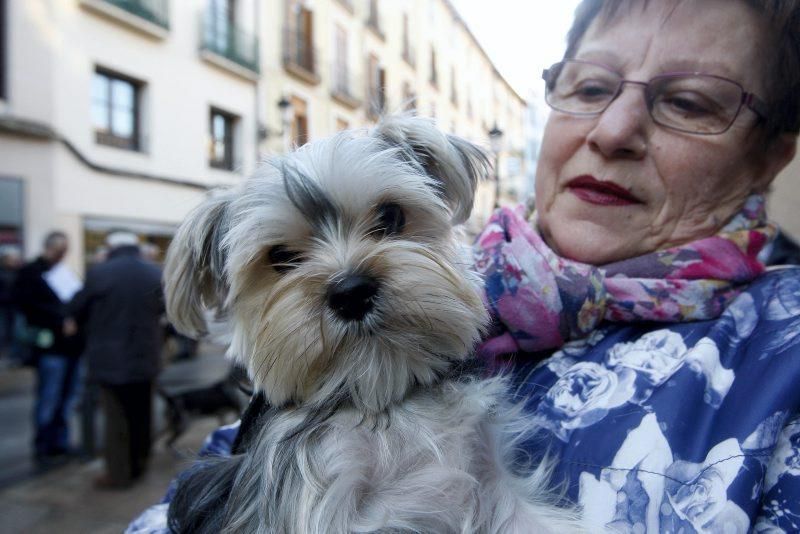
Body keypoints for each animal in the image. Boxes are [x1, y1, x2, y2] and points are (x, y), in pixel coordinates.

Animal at [166, 115, 584, 532]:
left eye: (390, 216)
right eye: (280, 256)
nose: (351, 292)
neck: (382, 396)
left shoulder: (492, 483)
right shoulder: (315, 502)